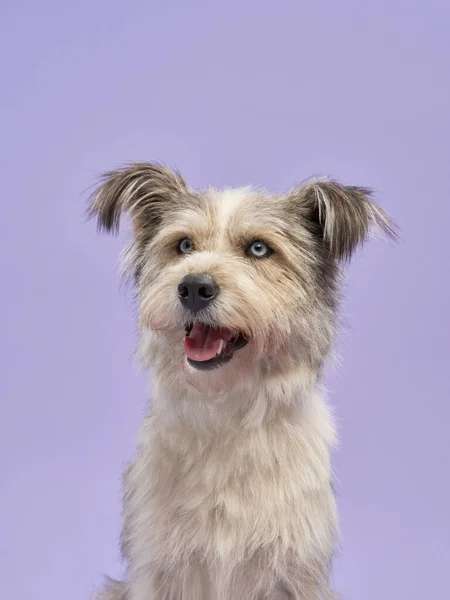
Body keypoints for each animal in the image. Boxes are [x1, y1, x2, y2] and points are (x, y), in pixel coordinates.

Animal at [87, 162, 394, 596]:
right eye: (184, 245)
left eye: (259, 249)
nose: (193, 287)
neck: (227, 412)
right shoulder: (158, 567)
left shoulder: (294, 571)